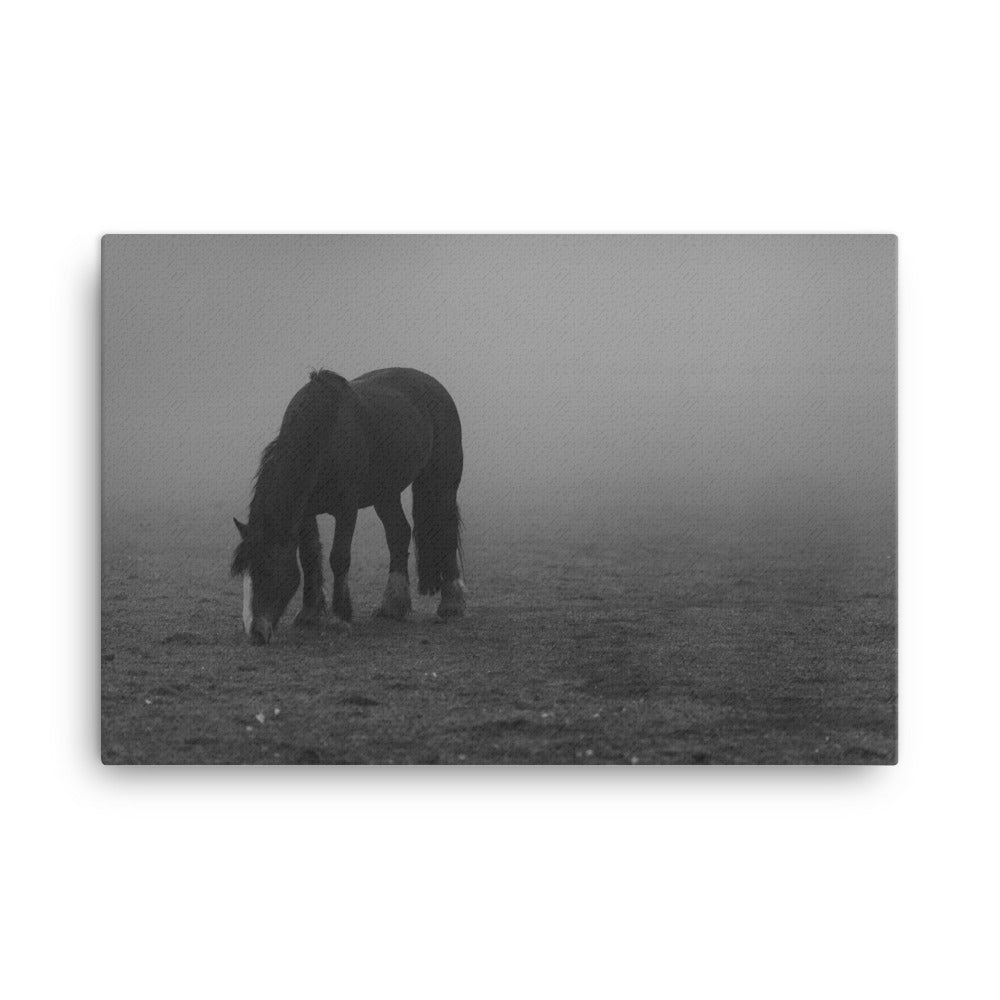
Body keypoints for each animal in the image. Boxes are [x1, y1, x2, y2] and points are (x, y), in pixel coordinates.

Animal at [230, 367, 466, 644]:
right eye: (244, 574)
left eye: (267, 570)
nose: (255, 632)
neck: (324, 436)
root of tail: (434, 386)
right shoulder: (305, 513)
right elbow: (309, 555)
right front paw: (309, 614)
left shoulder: (346, 509)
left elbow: (339, 557)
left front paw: (339, 618)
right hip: (386, 494)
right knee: (398, 533)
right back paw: (393, 606)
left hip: (442, 483)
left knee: (446, 531)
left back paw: (452, 604)